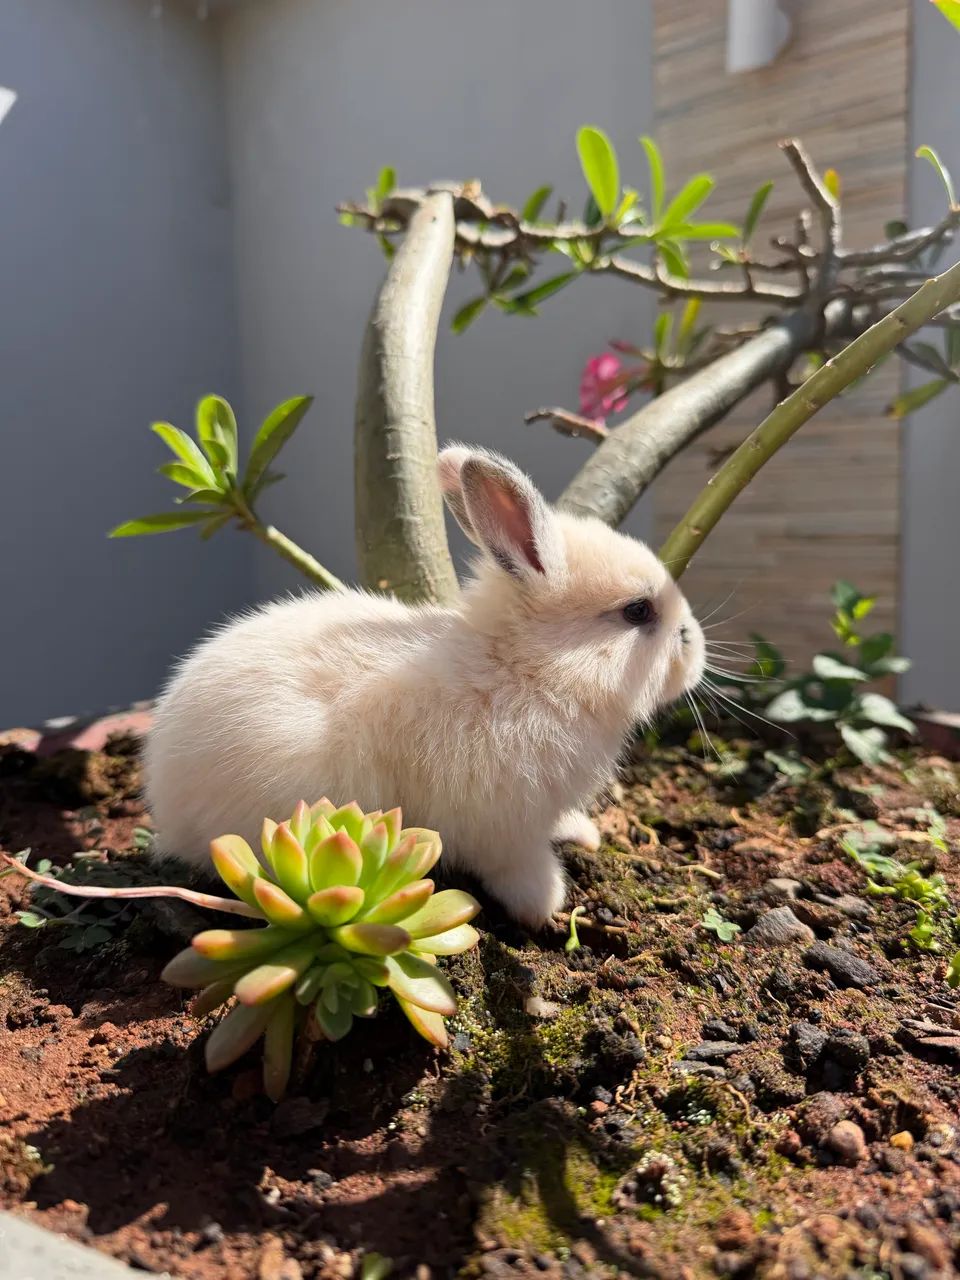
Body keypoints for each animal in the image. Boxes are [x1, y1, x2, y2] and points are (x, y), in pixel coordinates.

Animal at [145, 444, 705, 927]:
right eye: (637, 611)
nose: (694, 648)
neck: (524, 668)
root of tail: (163, 793)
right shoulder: (501, 828)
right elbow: (519, 869)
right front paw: (545, 905)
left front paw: (582, 835)